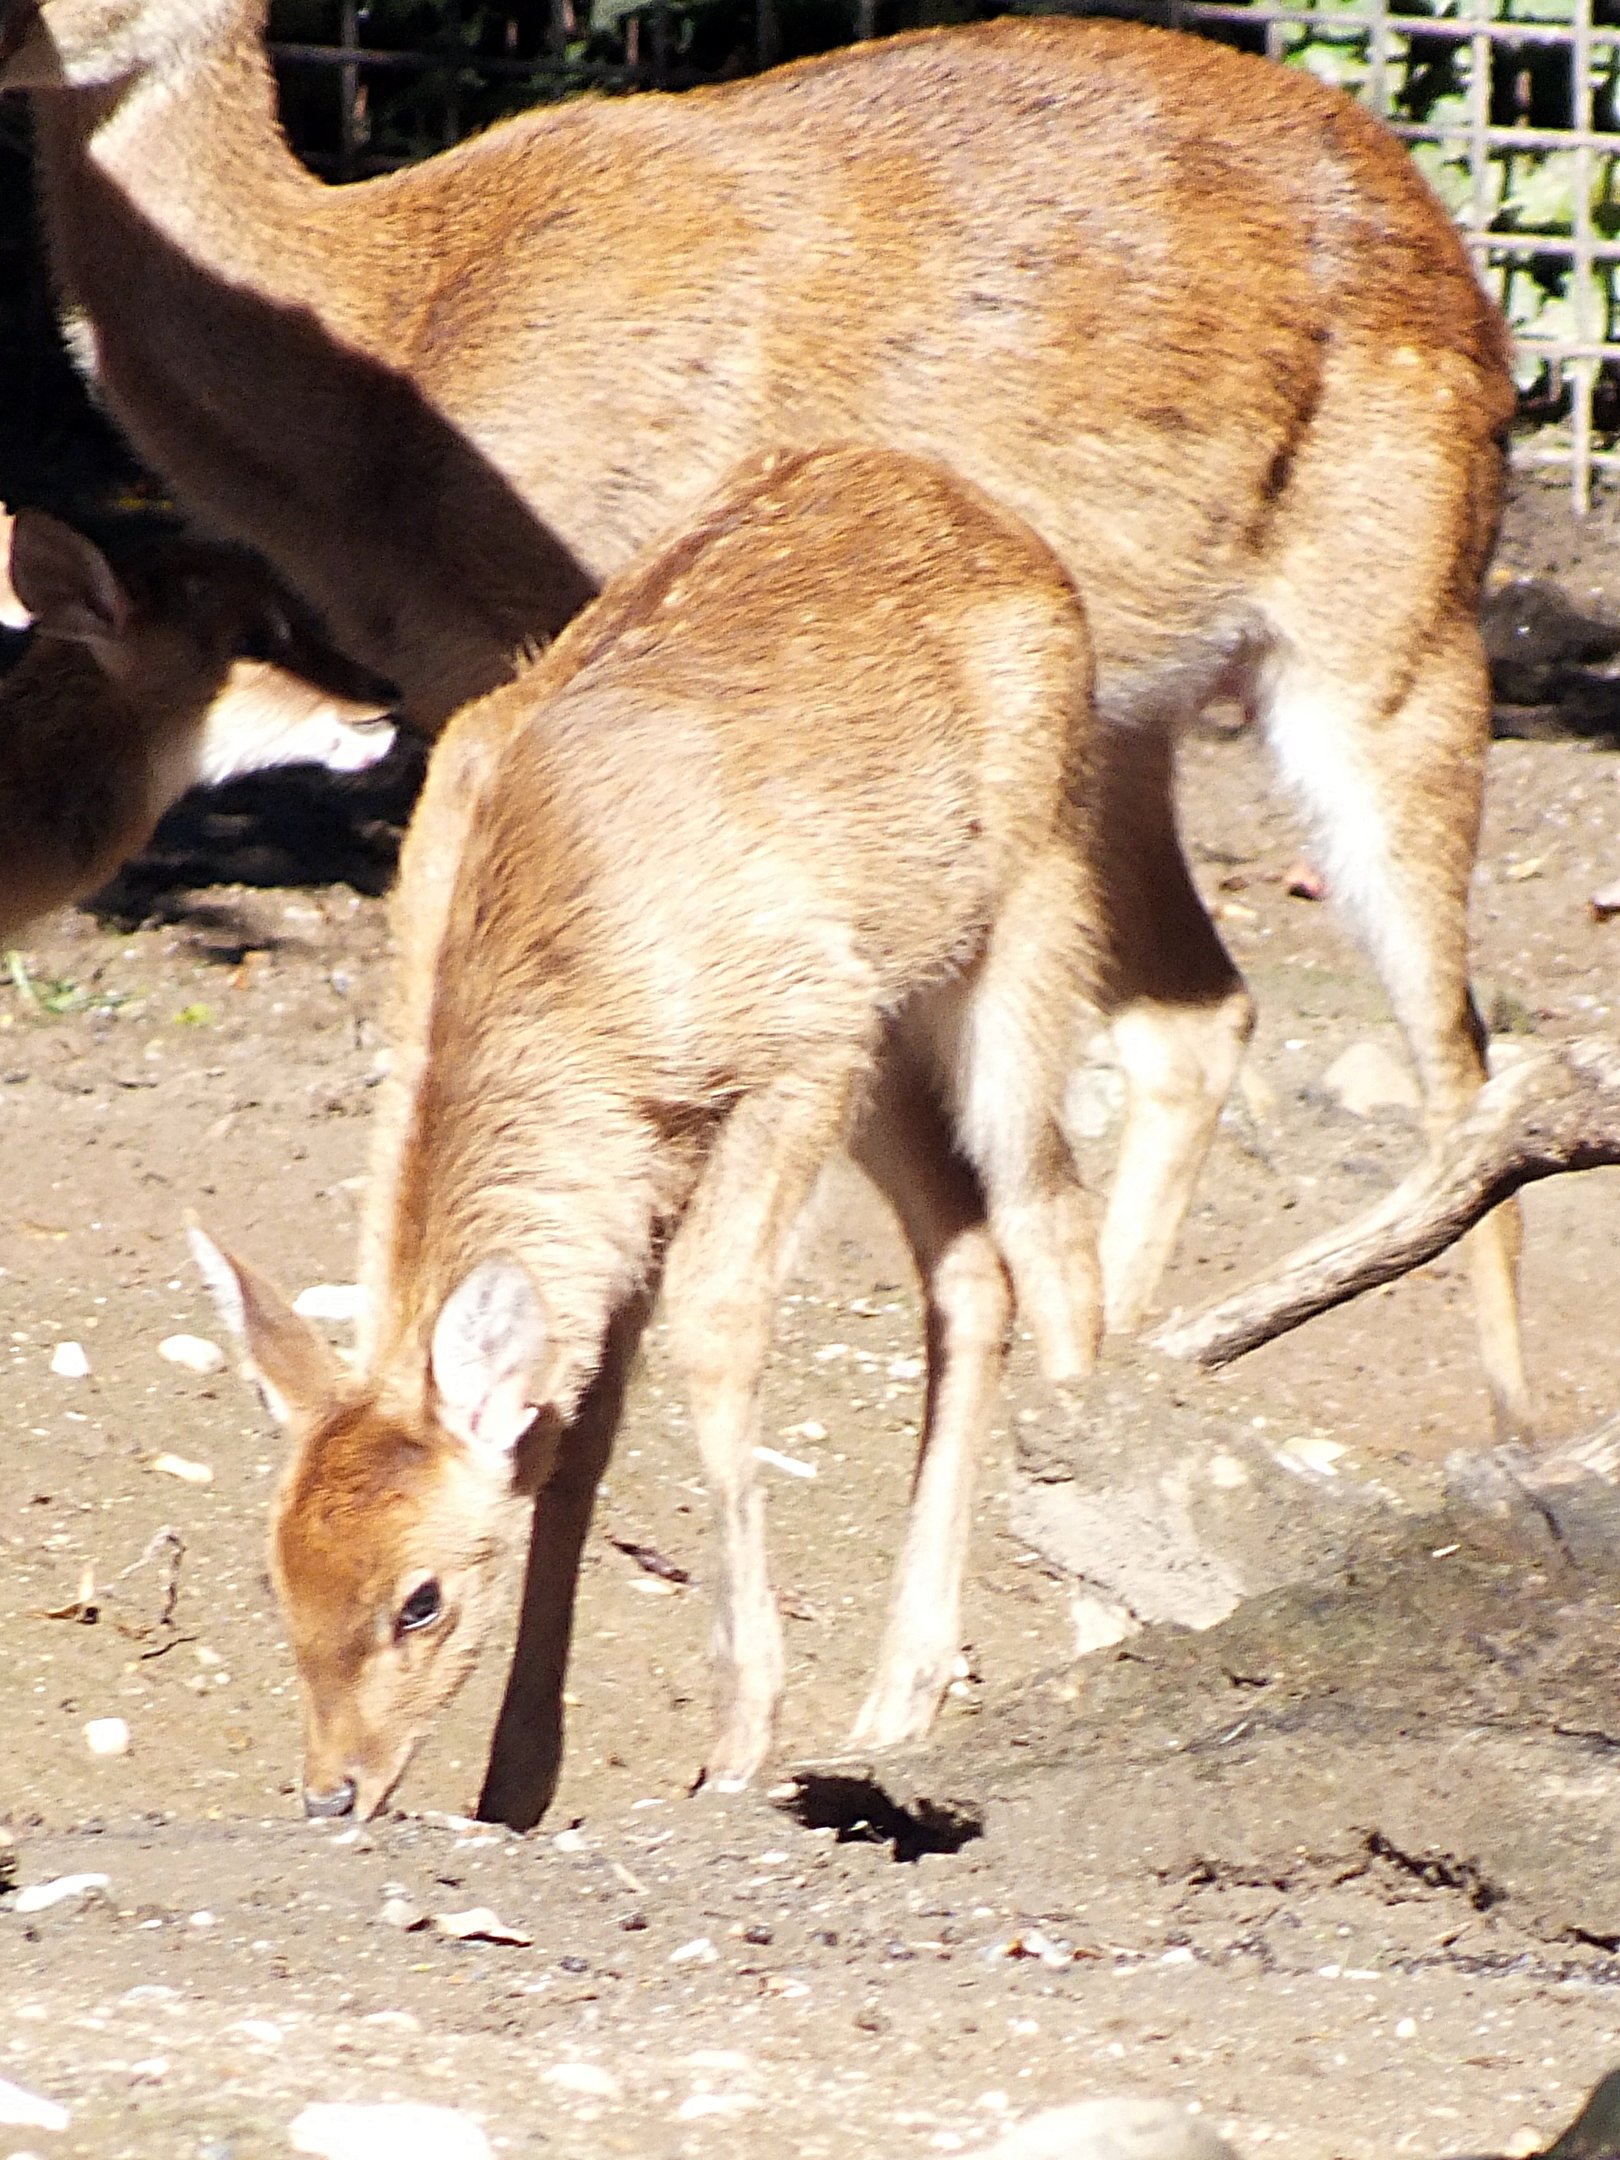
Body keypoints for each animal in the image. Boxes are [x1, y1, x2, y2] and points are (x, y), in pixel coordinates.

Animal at [189, 445, 1122, 1826]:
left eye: (422, 1599)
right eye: (272, 1578)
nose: (333, 1792)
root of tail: (1005, 527)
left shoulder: (796, 1037)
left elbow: (719, 1325)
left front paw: (739, 1737)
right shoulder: (645, 1155)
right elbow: (573, 1433)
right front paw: (515, 1782)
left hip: (1027, 905)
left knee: (1052, 1219)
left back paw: (1097, 1632)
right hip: (893, 1024)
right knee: (971, 1265)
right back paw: (901, 1695)